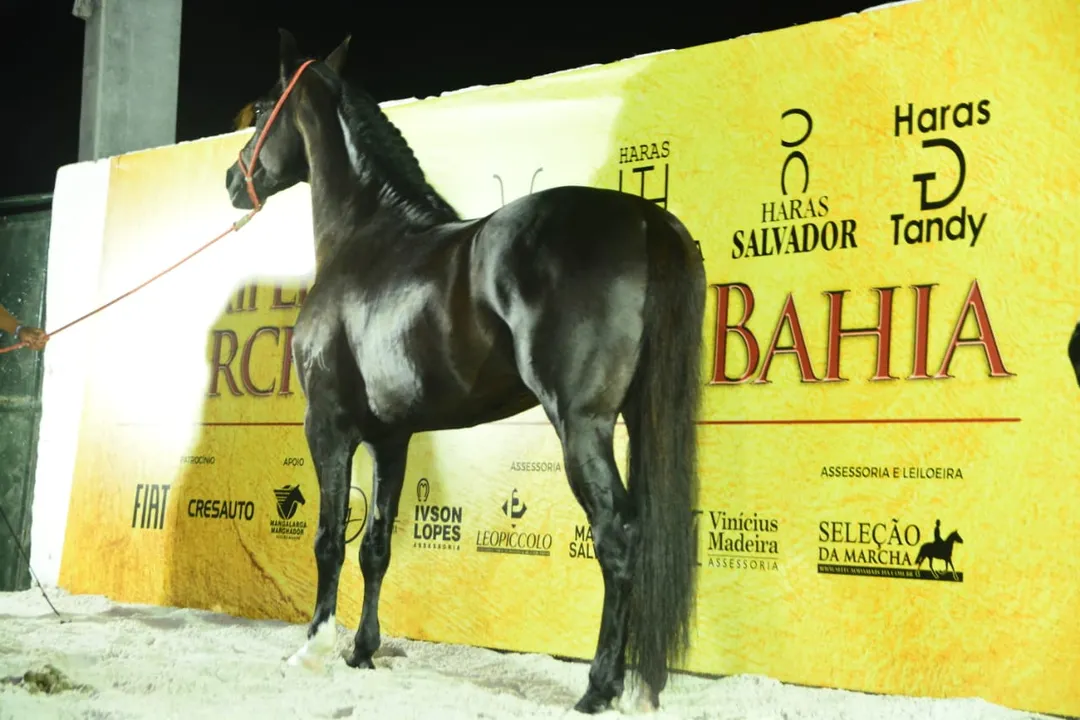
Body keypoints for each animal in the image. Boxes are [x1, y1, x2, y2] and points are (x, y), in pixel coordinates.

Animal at [223, 31, 704, 712]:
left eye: (264, 108)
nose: (232, 182)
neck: (367, 239)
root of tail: (644, 219)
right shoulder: (391, 437)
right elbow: (375, 546)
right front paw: (361, 652)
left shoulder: (329, 425)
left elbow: (327, 538)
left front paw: (312, 649)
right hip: (639, 416)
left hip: (582, 425)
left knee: (618, 535)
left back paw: (597, 689)